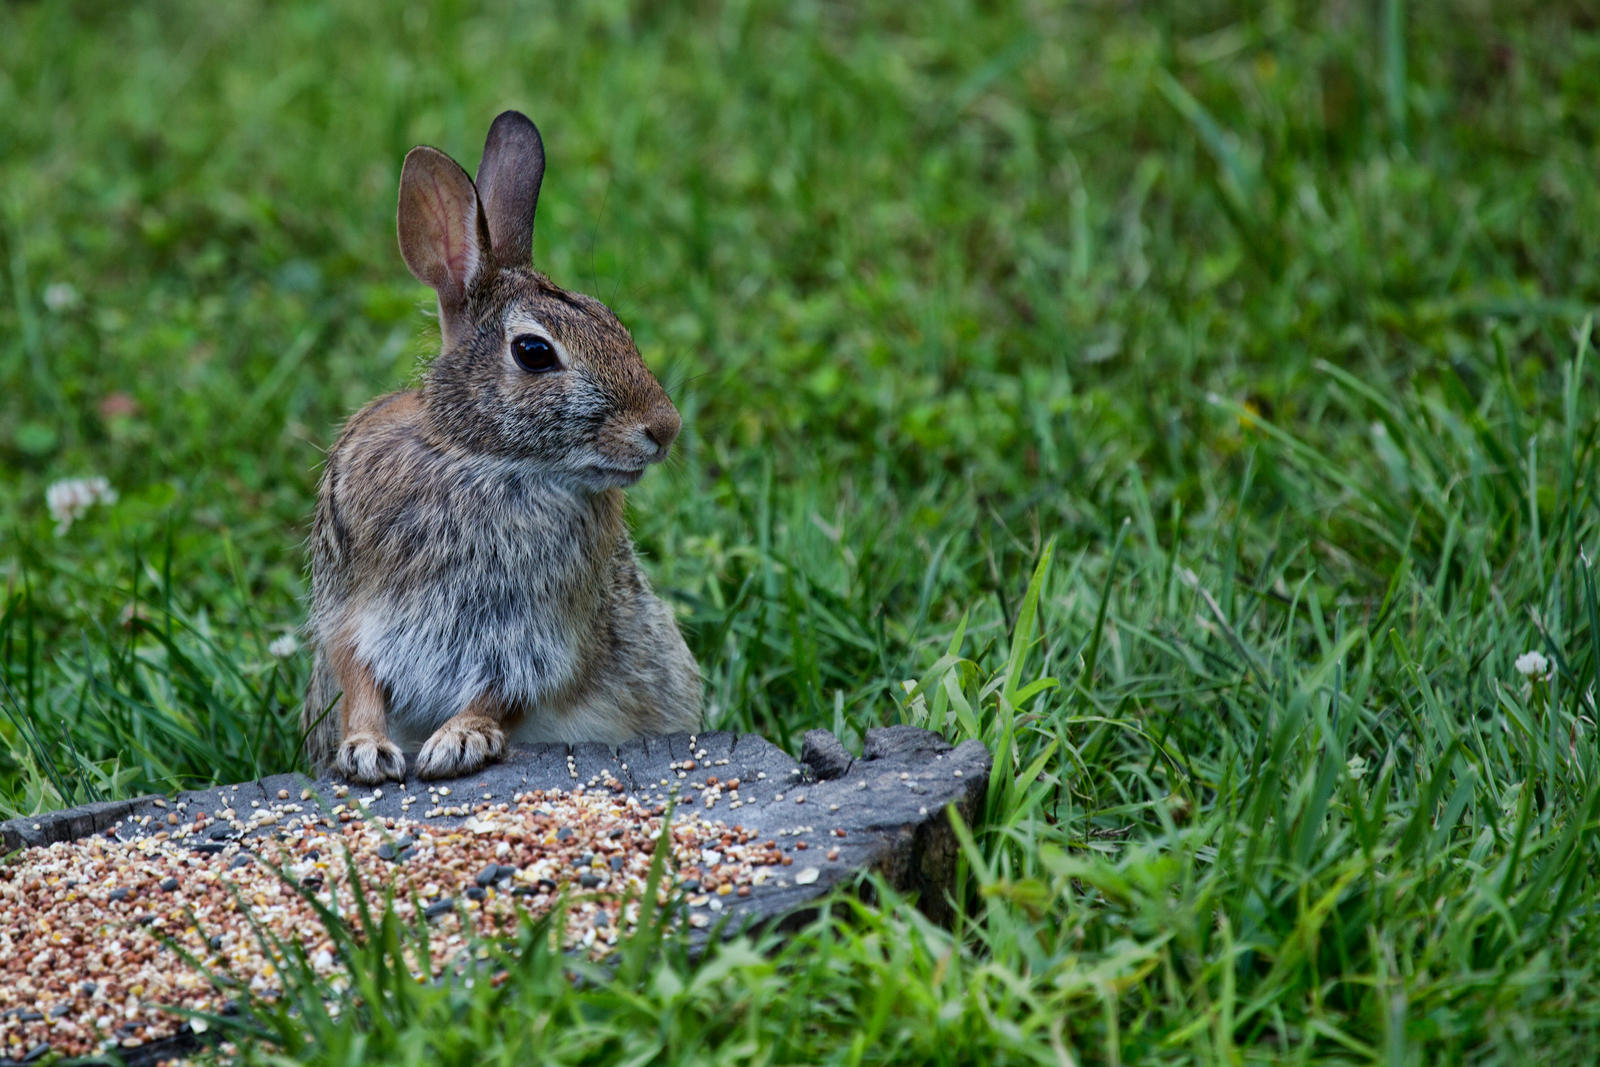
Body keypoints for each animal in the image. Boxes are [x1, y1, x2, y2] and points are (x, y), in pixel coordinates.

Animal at [300, 110, 700, 783]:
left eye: (611, 320)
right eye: (534, 352)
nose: (663, 429)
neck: (482, 459)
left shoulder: (538, 636)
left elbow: (503, 692)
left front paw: (459, 742)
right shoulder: (351, 609)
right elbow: (358, 678)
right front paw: (365, 751)